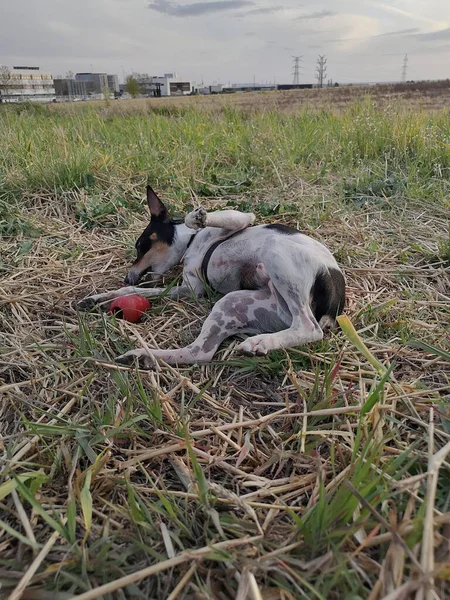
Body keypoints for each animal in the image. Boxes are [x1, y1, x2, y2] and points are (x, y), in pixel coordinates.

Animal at [76, 185, 344, 368]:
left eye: (141, 245)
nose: (126, 277)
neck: (192, 243)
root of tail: (335, 308)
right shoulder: (188, 289)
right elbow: (136, 292)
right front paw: (99, 298)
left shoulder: (241, 218)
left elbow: (198, 218)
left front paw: (197, 217)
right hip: (234, 304)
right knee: (200, 352)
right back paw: (142, 357)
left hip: (276, 253)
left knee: (309, 327)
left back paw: (261, 342)